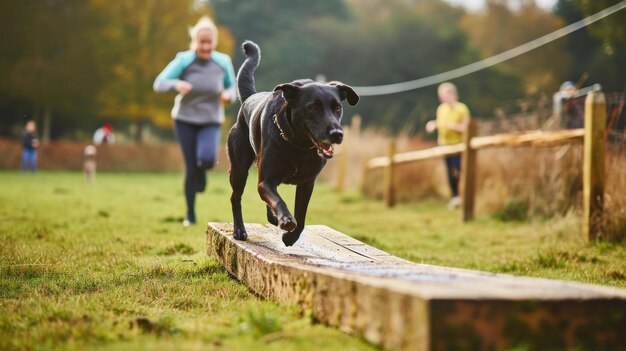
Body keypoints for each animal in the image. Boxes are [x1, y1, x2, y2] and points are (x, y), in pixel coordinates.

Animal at [227, 41, 358, 246]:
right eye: (313, 108)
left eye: (337, 107)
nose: (337, 134)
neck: (299, 146)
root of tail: (248, 99)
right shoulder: (266, 181)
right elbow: (278, 200)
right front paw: (287, 220)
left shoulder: (307, 183)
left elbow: (301, 217)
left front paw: (290, 236)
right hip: (239, 169)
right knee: (235, 197)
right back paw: (240, 230)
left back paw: (273, 218)